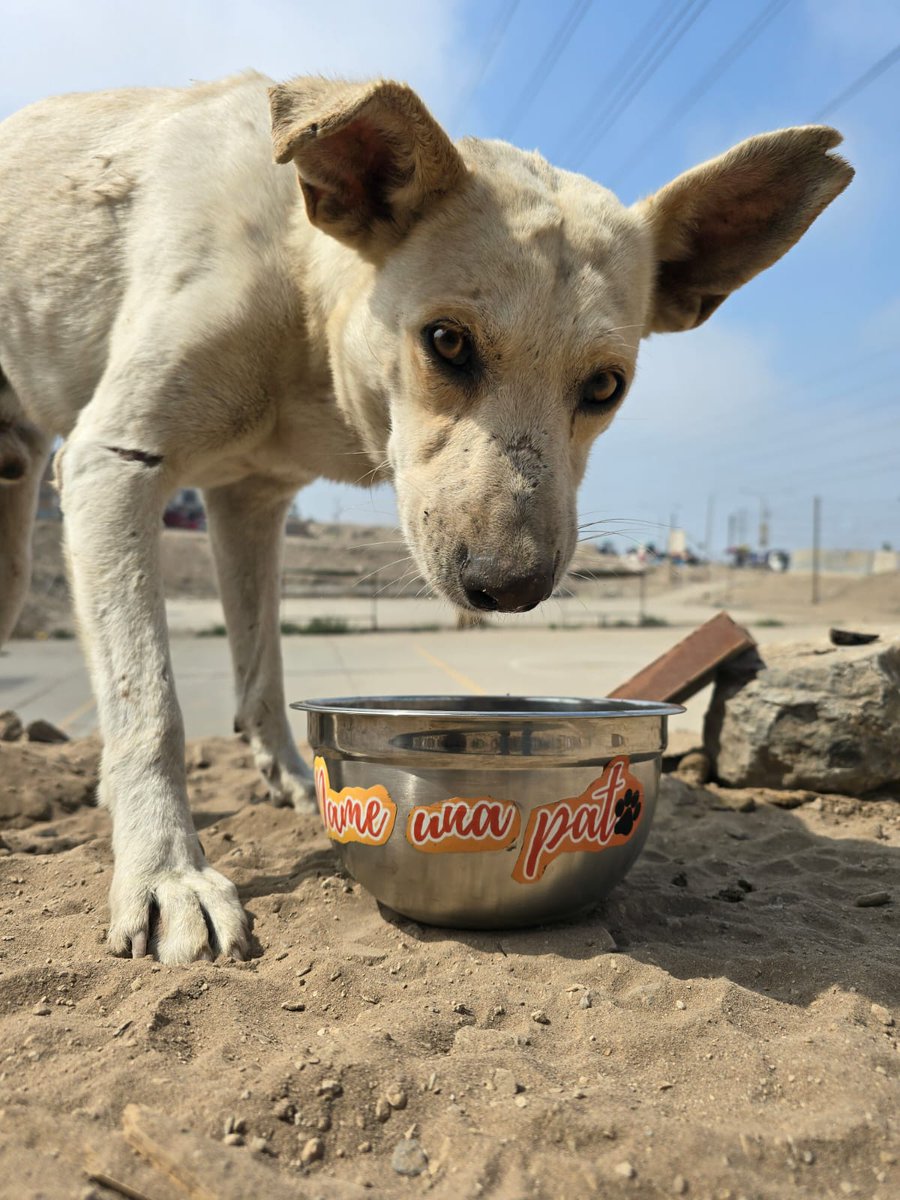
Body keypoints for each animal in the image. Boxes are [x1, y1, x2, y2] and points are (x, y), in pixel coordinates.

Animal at [0, 70, 854, 960]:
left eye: (605, 386)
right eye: (446, 341)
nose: (511, 589)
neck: (298, 291)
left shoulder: (250, 504)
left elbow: (262, 668)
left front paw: (289, 777)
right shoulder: (109, 465)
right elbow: (149, 706)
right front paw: (168, 873)